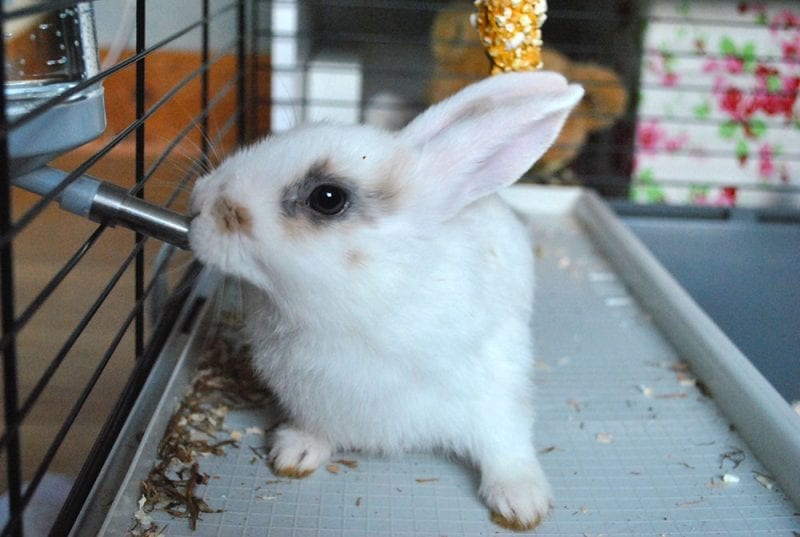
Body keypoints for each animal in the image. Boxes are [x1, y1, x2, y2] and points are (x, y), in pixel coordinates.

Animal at [189, 71, 583, 531]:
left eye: (327, 198)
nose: (199, 203)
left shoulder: (496, 393)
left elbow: (508, 445)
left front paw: (522, 503)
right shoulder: (317, 404)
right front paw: (294, 452)